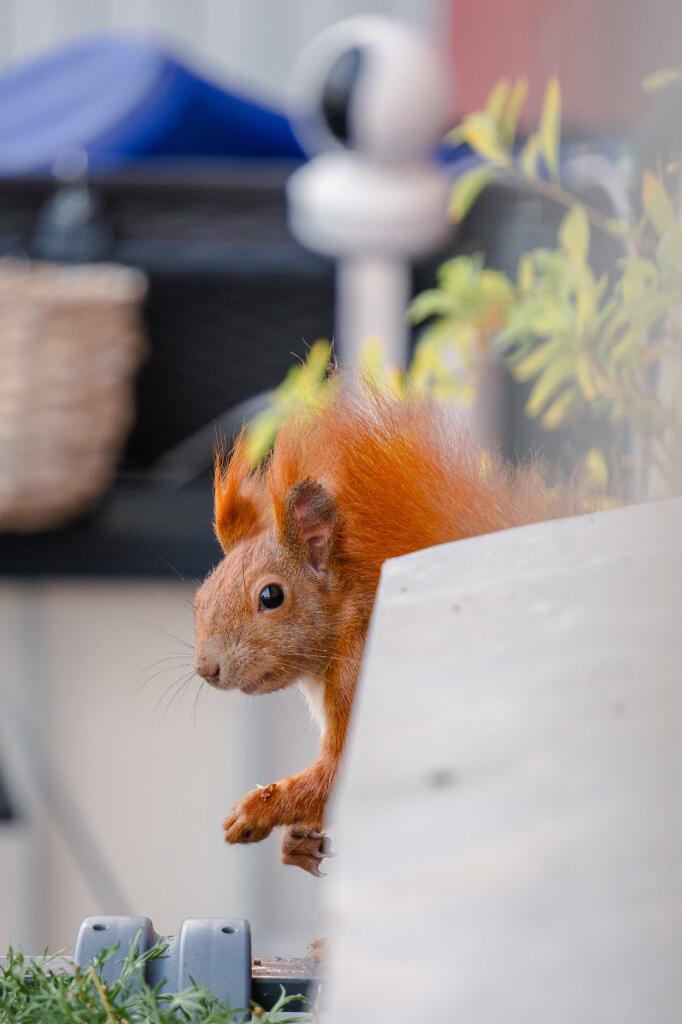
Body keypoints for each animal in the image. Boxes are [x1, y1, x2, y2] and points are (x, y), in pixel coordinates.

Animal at [192, 387, 573, 876]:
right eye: (201, 597)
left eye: (271, 596)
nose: (207, 668)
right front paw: (296, 844)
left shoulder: (356, 677)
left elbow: (337, 776)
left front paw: (254, 812)